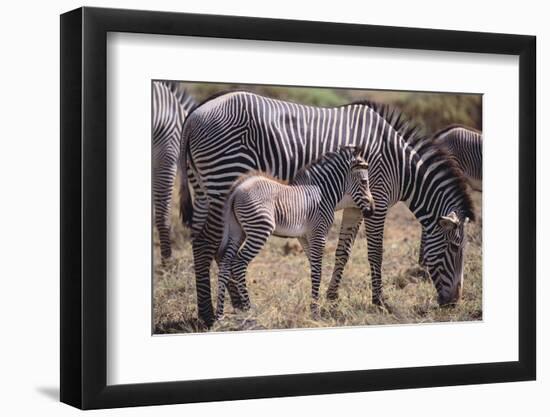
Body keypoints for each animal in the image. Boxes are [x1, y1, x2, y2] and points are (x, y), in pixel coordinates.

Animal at [216, 146, 376, 318]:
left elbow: (315, 268)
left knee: (225, 262)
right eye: (364, 182)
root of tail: (238, 188)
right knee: (239, 263)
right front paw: (315, 310)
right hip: (260, 230)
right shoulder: (319, 234)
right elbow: (318, 270)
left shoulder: (304, 237)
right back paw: (248, 308)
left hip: (237, 231)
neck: (323, 193)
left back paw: (219, 313)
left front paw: (314, 305)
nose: (371, 211)